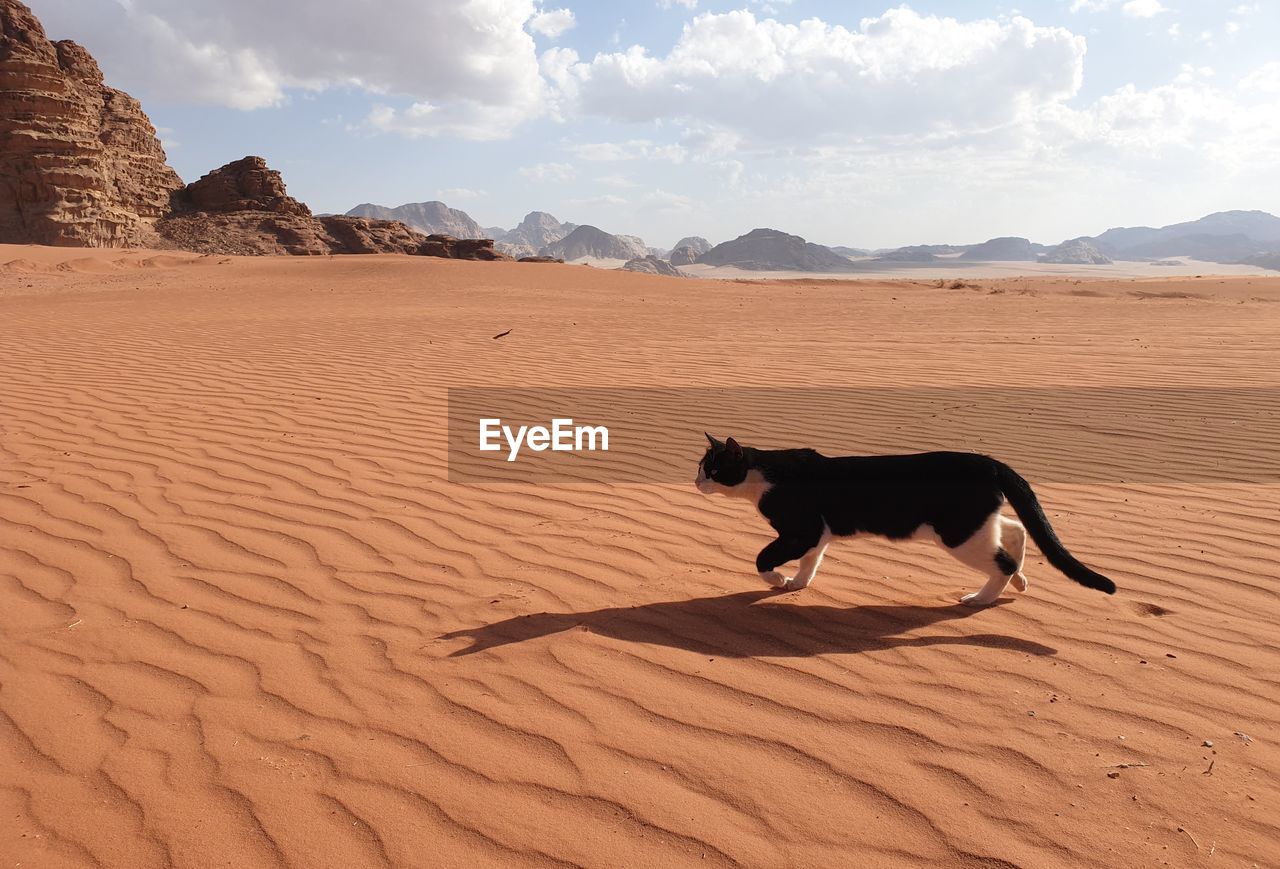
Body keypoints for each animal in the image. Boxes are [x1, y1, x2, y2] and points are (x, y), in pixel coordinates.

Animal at [696, 435, 1116, 604]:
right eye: (701, 468)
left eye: (713, 470)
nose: (696, 482)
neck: (763, 474)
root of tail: (990, 462)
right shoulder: (816, 533)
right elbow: (811, 561)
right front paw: (797, 583)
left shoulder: (802, 529)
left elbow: (763, 558)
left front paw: (779, 580)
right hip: (976, 524)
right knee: (1014, 531)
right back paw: (1021, 581)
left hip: (959, 533)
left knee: (1002, 560)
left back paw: (980, 598)